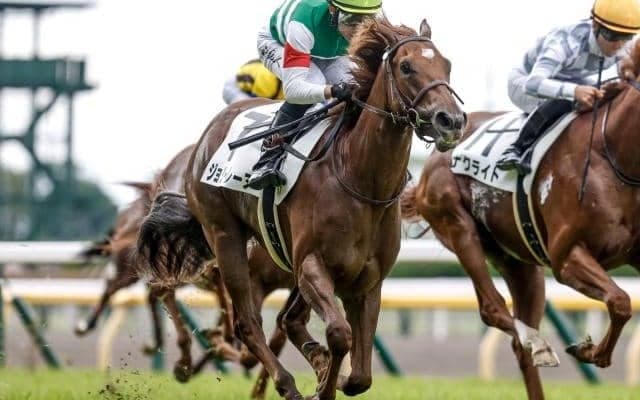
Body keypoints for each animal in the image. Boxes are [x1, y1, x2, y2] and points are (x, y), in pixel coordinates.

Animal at [158, 18, 465, 400]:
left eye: (447, 65)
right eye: (406, 67)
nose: (451, 120)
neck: (359, 178)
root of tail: (208, 134)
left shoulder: (368, 280)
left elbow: (361, 375)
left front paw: (329, 375)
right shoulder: (310, 265)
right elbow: (339, 334)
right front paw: (323, 384)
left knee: (287, 321)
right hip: (225, 237)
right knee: (247, 323)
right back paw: (284, 383)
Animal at [401, 39, 640, 400]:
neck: (613, 155)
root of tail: (433, 159)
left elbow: (623, 302)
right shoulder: (567, 258)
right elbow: (621, 301)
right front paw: (589, 351)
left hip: (519, 261)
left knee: (519, 339)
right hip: (458, 225)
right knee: (494, 309)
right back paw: (538, 344)